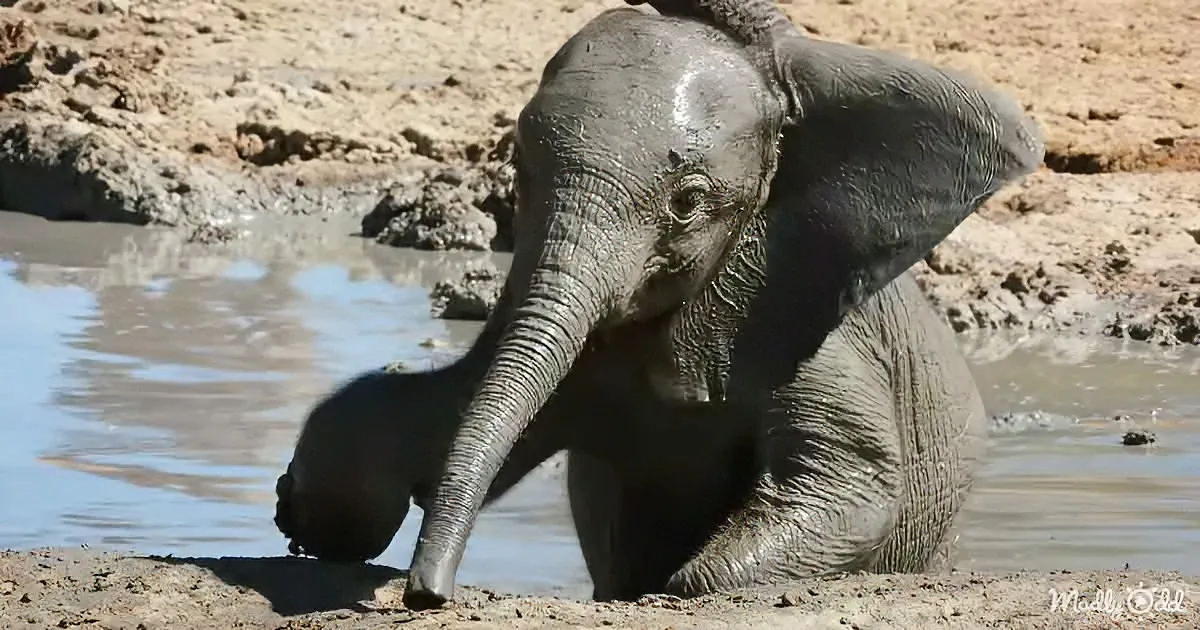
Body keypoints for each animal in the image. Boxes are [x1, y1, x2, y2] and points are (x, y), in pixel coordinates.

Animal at [273, 3, 1045, 609]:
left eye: (689, 202)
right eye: (520, 172)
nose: (428, 594)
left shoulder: (806, 324)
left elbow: (850, 483)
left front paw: (670, 587)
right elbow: (446, 412)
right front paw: (304, 516)